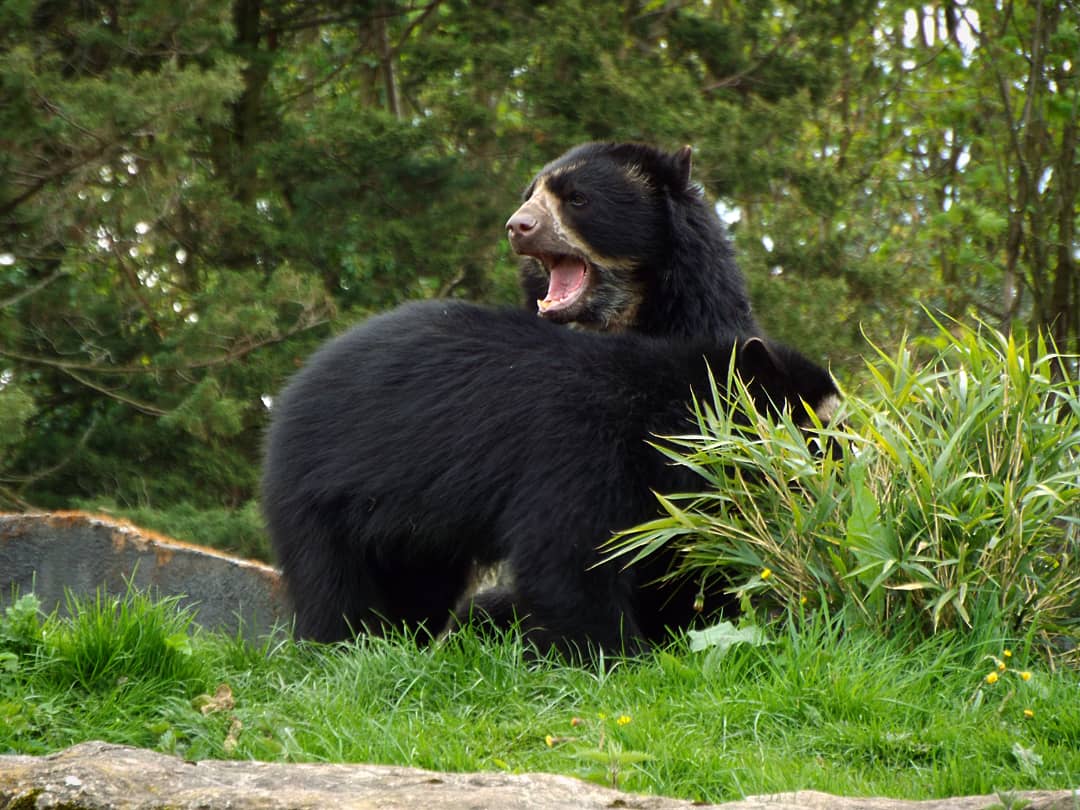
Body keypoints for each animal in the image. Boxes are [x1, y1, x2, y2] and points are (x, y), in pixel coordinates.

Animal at [262, 300, 838, 656]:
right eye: (824, 438)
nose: (840, 502)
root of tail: (286, 395)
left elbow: (668, 567)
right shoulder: (582, 450)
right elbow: (568, 562)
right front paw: (623, 660)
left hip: (410, 528)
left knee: (419, 585)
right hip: (320, 493)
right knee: (333, 585)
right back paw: (346, 649)